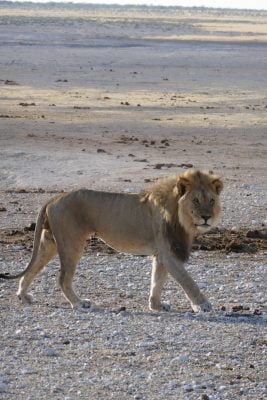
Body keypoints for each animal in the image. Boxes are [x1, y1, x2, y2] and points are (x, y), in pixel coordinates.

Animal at [0, 169, 224, 312]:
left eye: (211, 200)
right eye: (196, 200)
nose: (206, 217)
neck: (180, 216)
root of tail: (54, 198)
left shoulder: (161, 254)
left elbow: (157, 281)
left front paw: (156, 305)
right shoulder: (169, 254)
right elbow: (188, 281)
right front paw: (202, 305)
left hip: (50, 242)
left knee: (33, 267)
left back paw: (23, 296)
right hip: (72, 243)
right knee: (62, 278)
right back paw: (79, 303)